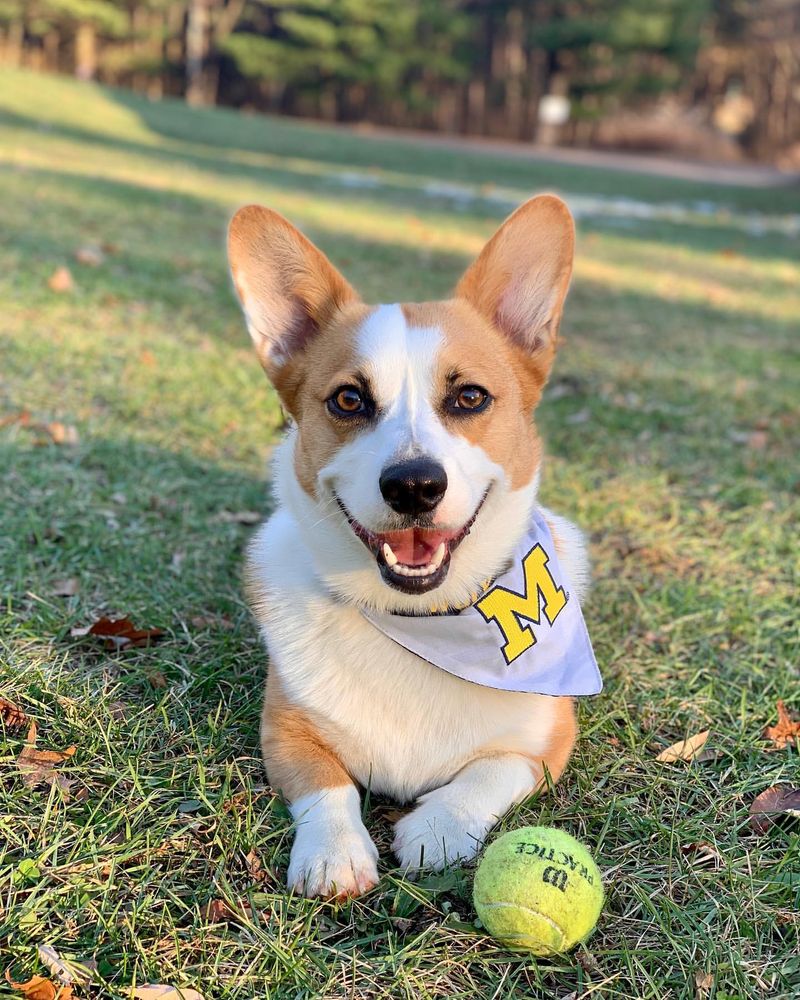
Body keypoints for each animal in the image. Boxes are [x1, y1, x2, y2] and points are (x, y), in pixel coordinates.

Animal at [223, 195, 592, 900]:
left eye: (470, 396)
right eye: (349, 399)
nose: (415, 486)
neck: (425, 619)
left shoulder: (547, 740)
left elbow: (492, 769)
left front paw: (440, 827)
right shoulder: (285, 728)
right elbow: (326, 785)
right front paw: (335, 853)